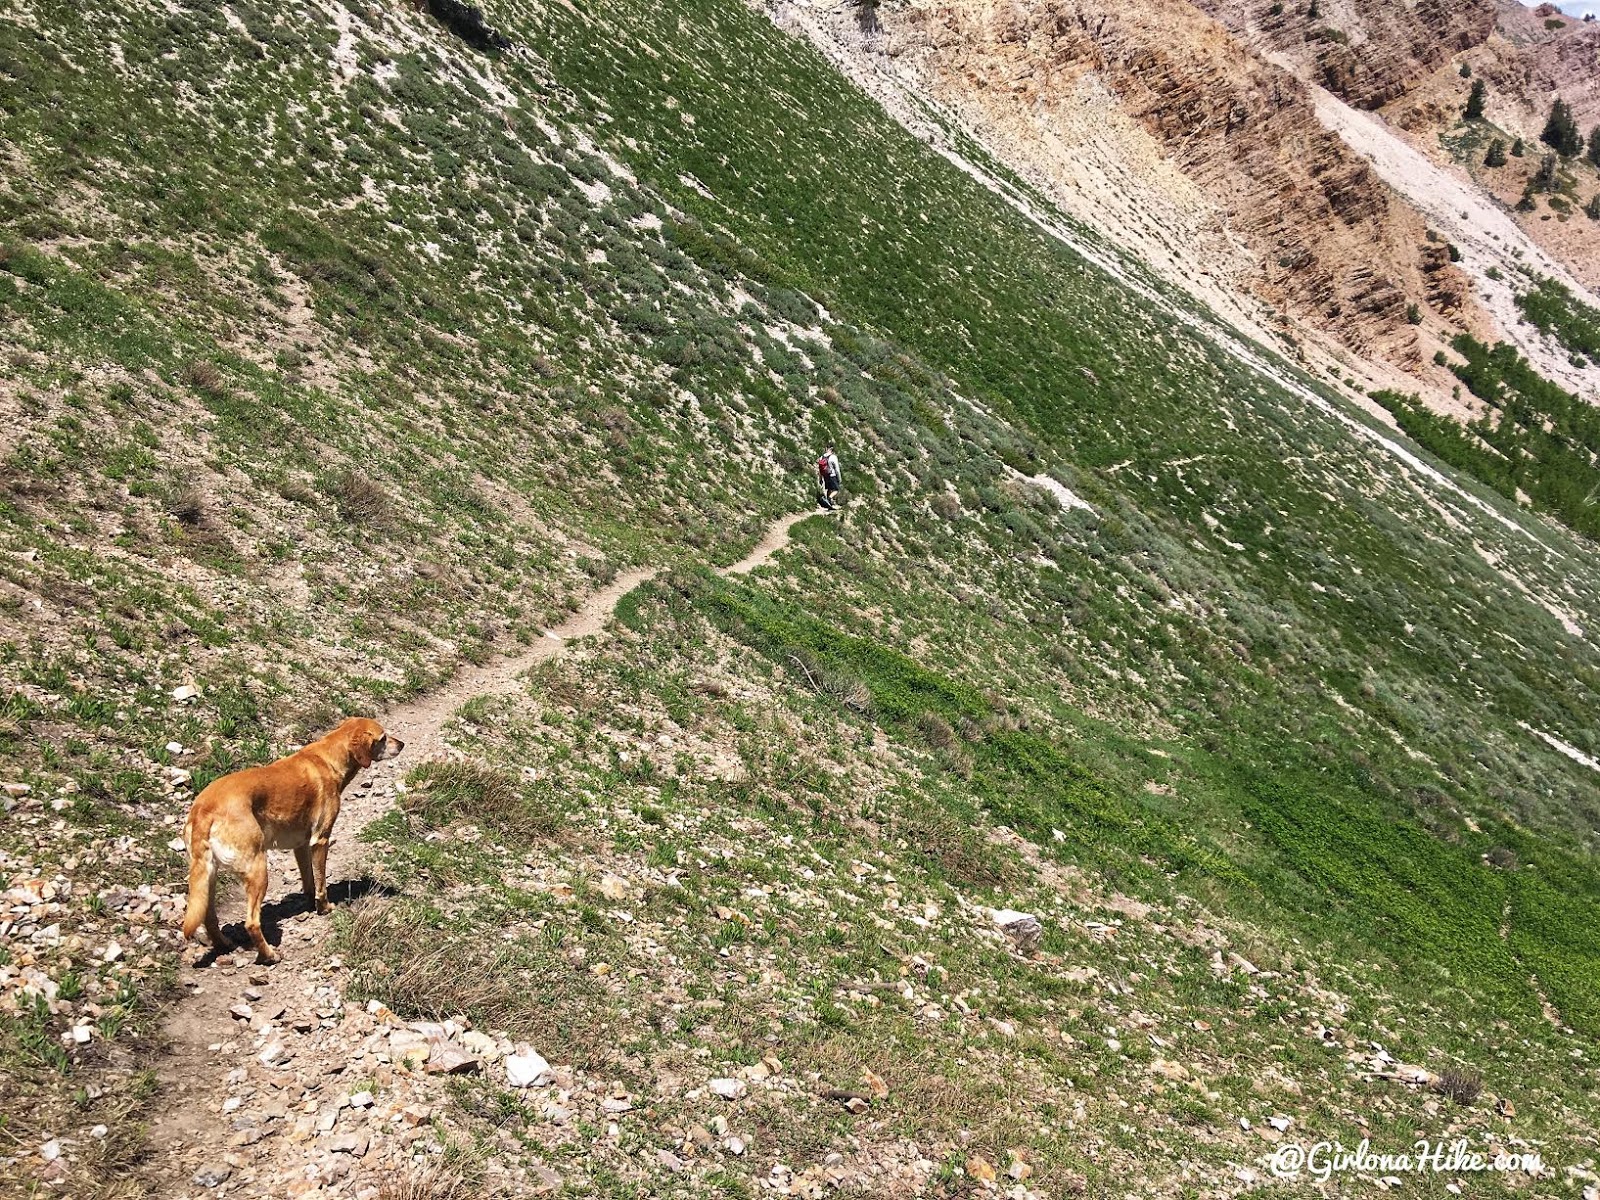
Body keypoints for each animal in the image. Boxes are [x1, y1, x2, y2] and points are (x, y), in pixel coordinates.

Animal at [181, 720, 403, 966]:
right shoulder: (320, 840)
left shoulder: (301, 846)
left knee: (209, 917)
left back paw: (224, 944)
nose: (402, 744)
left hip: (208, 877)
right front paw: (324, 908)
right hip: (258, 869)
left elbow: (309, 881)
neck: (328, 758)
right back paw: (269, 955)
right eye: (383, 738)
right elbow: (321, 884)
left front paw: (309, 903)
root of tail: (204, 809)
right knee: (251, 923)